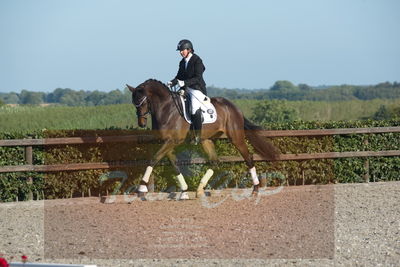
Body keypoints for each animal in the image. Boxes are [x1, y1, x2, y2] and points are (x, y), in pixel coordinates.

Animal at [126, 79, 280, 201]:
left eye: (141, 102)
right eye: (134, 103)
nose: (141, 124)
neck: (167, 109)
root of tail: (234, 107)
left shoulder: (172, 141)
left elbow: (154, 159)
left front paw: (141, 189)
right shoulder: (167, 142)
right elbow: (174, 165)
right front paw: (184, 192)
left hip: (236, 138)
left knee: (248, 158)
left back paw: (255, 190)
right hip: (206, 140)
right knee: (214, 161)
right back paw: (199, 190)